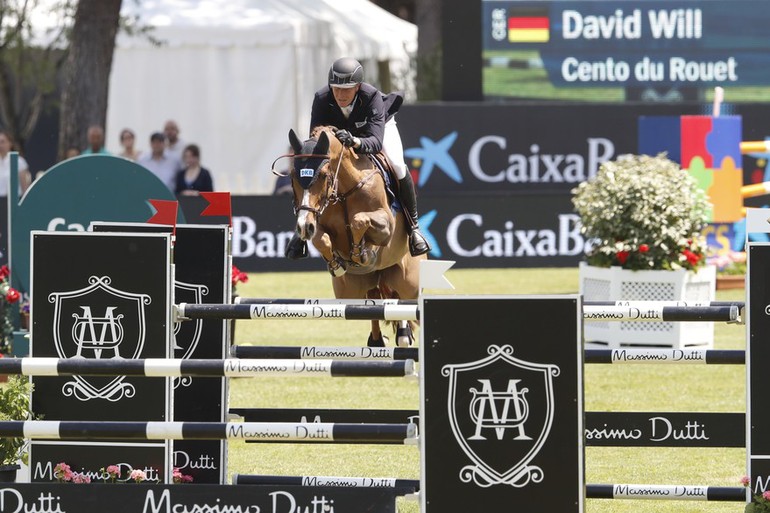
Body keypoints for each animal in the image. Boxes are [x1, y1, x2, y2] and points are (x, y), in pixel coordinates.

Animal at [284, 126, 426, 346]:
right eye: (292, 176)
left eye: (323, 175)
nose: (303, 227)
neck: (343, 191)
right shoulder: (319, 223)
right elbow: (321, 239)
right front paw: (337, 264)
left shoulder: (386, 226)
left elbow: (359, 220)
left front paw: (361, 253)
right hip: (352, 290)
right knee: (374, 303)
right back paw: (378, 340)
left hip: (408, 281)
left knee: (402, 301)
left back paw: (403, 335)